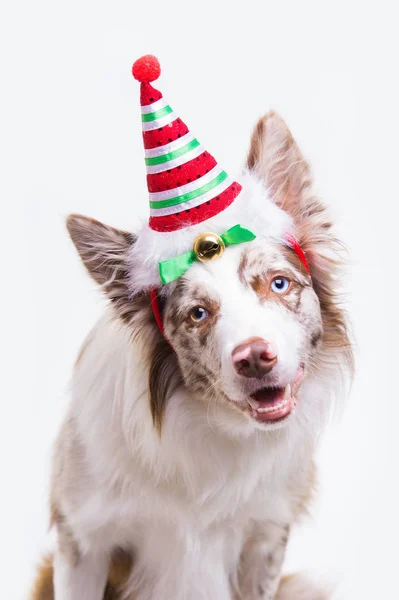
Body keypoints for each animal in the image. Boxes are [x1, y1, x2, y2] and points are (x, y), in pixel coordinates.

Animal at [32, 109, 354, 600]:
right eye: (198, 314)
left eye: (278, 284)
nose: (254, 358)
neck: (212, 429)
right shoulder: (83, 540)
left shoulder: (265, 538)